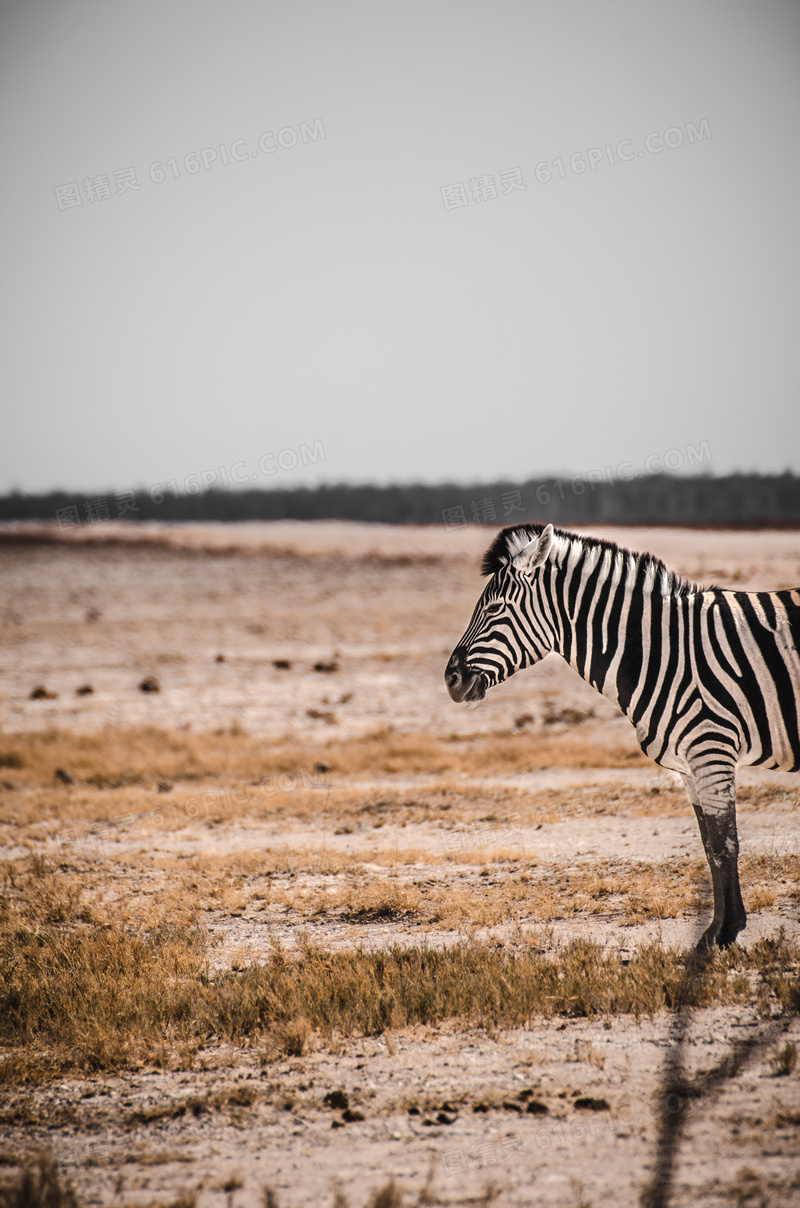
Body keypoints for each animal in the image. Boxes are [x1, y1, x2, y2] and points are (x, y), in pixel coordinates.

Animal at [444, 524, 800, 947]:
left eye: (494, 609)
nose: (450, 679)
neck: (663, 651)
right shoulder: (690, 765)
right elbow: (709, 846)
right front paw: (715, 929)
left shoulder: (711, 749)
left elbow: (724, 843)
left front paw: (727, 931)